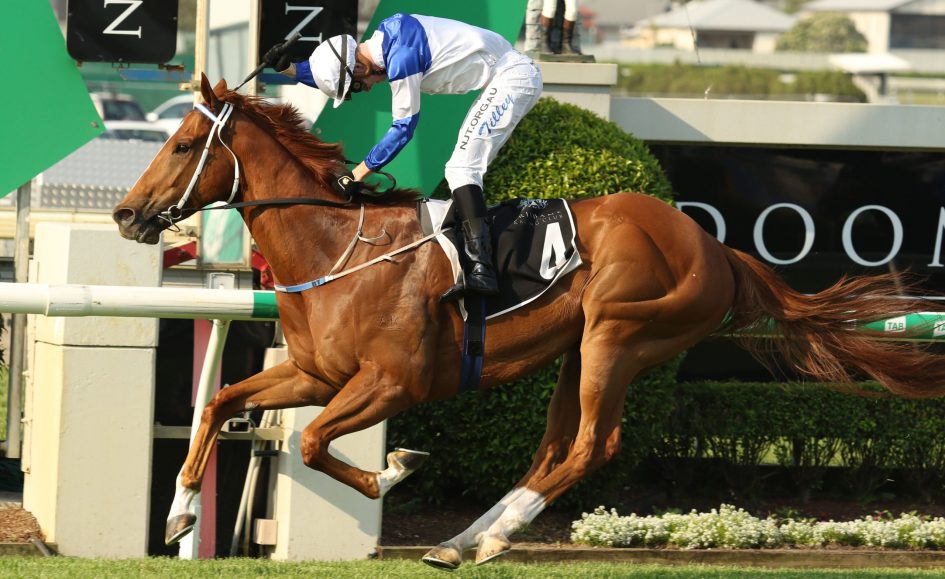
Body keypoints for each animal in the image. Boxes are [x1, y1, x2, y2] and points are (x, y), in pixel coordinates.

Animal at [112, 74, 945, 568]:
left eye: (182, 143)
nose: (124, 213)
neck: (336, 244)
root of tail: (714, 245)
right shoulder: (317, 370)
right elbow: (220, 402)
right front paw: (178, 516)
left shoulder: (391, 381)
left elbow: (315, 441)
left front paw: (393, 469)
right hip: (579, 350)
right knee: (553, 446)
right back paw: (462, 537)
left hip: (617, 334)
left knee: (590, 444)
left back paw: (487, 536)